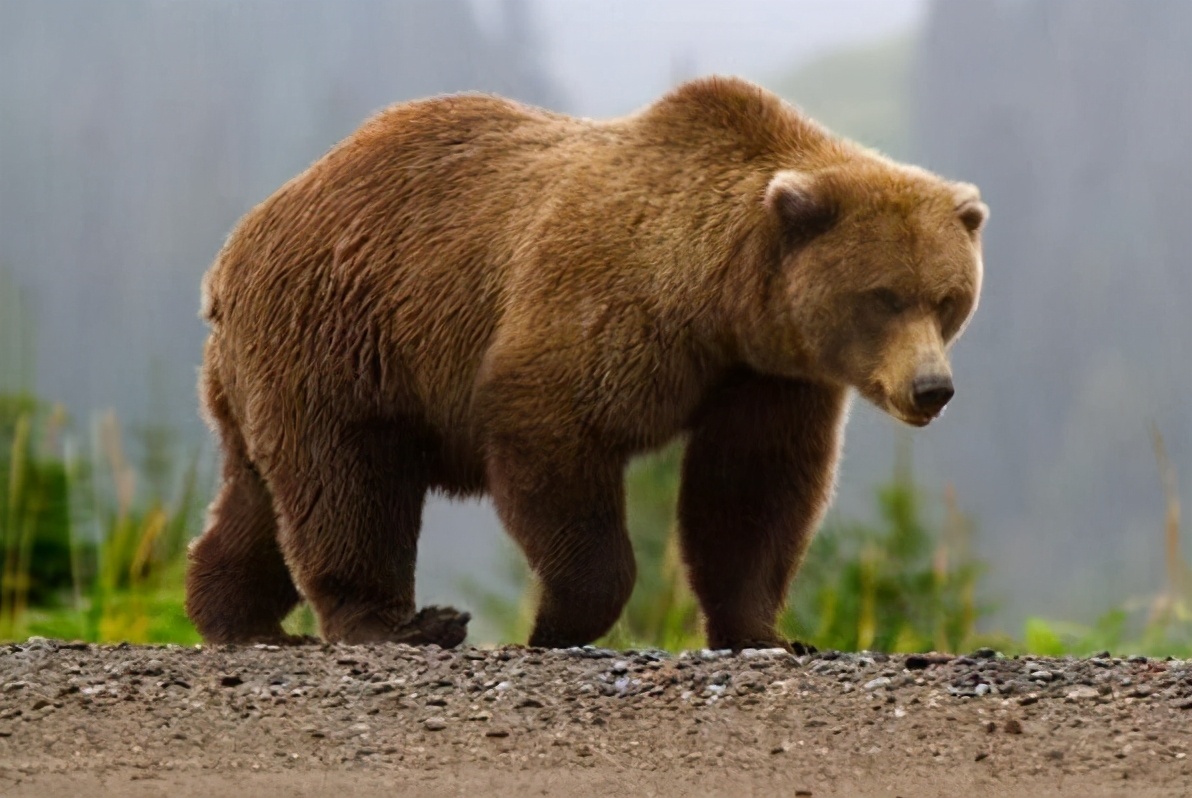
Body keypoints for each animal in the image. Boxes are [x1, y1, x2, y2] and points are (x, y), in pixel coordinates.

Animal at [185, 74, 986, 648]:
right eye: (882, 296)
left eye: (948, 299)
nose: (932, 388)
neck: (719, 300)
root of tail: (232, 252)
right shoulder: (605, 305)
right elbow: (553, 434)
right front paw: (555, 622)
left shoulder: (766, 375)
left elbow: (751, 492)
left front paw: (766, 632)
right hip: (342, 332)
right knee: (348, 481)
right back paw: (400, 624)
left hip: (271, 368)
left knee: (261, 495)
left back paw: (235, 616)